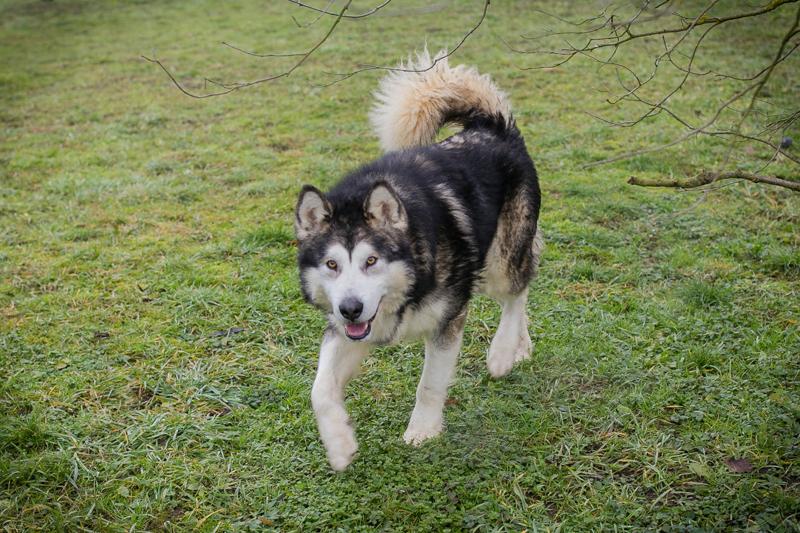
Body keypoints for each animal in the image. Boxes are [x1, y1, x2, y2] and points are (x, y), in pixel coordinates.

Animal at [294, 49, 543, 471]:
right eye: (331, 265)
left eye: (371, 260)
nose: (350, 308)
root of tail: (492, 126)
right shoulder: (349, 332)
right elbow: (319, 390)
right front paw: (340, 444)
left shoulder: (448, 319)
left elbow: (430, 383)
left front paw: (423, 430)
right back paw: (519, 347)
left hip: (499, 262)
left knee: (518, 289)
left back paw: (502, 353)